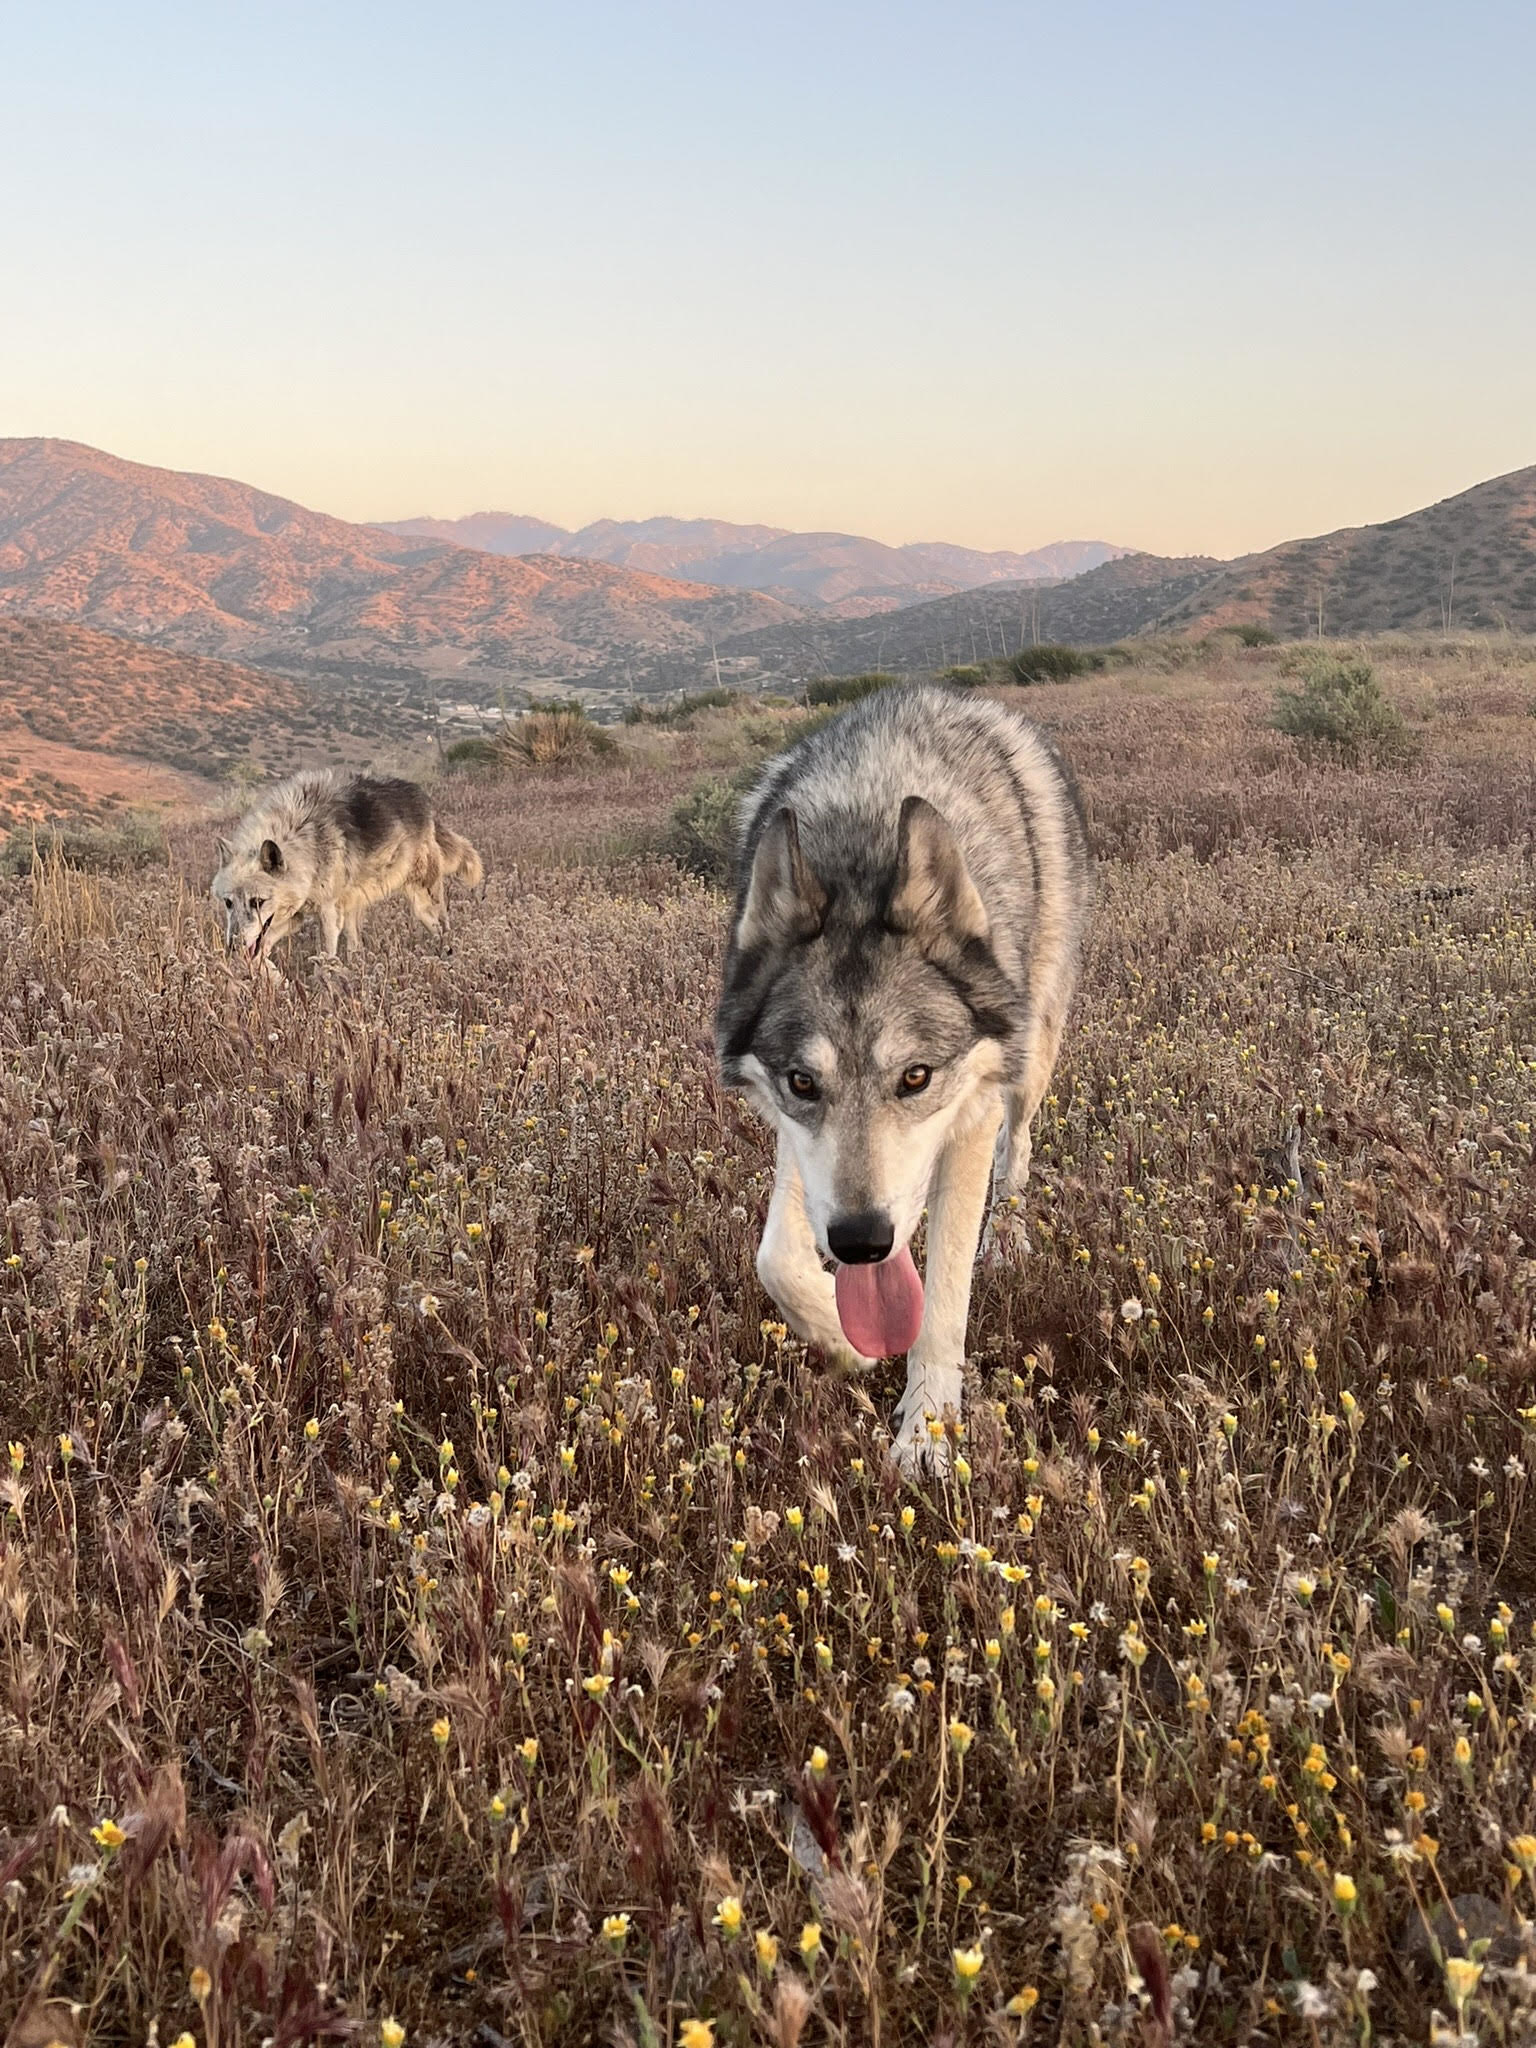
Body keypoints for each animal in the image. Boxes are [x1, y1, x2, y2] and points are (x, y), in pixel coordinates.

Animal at [210, 770, 483, 970]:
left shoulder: (328, 913)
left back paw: (447, 957)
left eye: (257, 901)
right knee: (356, 945)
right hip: (358, 908)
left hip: (423, 905)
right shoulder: (296, 915)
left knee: (443, 930)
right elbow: (262, 947)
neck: (303, 838)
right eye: (228, 903)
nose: (232, 946)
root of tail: (422, 798)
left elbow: (324, 958)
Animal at [720, 688, 1097, 1474]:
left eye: (916, 1077)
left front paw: (926, 1434)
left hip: (1031, 1056)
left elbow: (944, 1300)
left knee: (1019, 1150)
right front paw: (844, 1342)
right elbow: (775, 1258)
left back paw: (1007, 1239)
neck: (862, 851)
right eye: (803, 1083)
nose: (862, 1242)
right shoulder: (794, 1139)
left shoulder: (973, 1114)